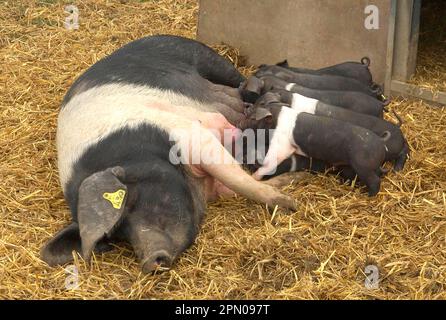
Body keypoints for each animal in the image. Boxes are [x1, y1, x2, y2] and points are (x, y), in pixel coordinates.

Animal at [41, 35, 296, 276]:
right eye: (117, 235)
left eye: (131, 201)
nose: (149, 261)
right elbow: (234, 184)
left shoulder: (193, 138)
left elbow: (238, 180)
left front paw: (289, 204)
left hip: (207, 59)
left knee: (238, 79)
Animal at [251, 105, 390, 195]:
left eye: (253, 119)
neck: (276, 120)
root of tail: (381, 141)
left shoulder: (282, 144)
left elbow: (270, 161)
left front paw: (254, 177)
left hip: (363, 165)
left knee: (375, 181)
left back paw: (366, 195)